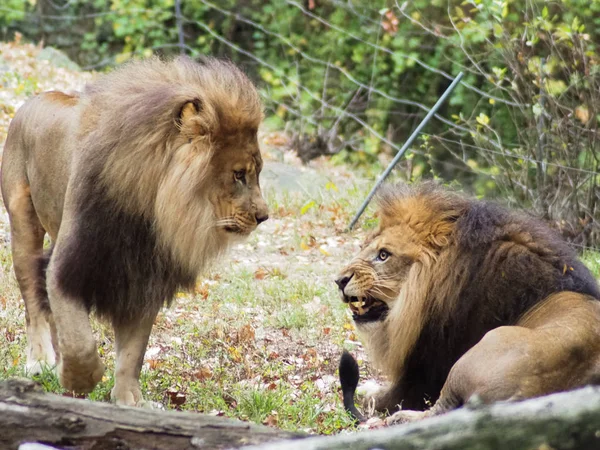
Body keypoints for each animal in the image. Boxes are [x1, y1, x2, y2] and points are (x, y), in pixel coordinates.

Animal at [0, 54, 268, 406]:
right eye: (238, 174)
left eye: (257, 172)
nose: (264, 216)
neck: (147, 214)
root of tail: (34, 99)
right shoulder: (66, 266)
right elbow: (80, 341)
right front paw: (78, 379)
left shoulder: (144, 279)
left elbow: (132, 353)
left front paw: (130, 400)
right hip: (23, 226)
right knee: (33, 302)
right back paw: (40, 360)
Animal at [338, 182, 600, 422]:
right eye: (363, 248)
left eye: (383, 255)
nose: (339, 280)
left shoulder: (422, 373)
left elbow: (381, 398)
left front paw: (370, 391)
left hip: (479, 351)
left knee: (436, 412)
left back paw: (401, 418)